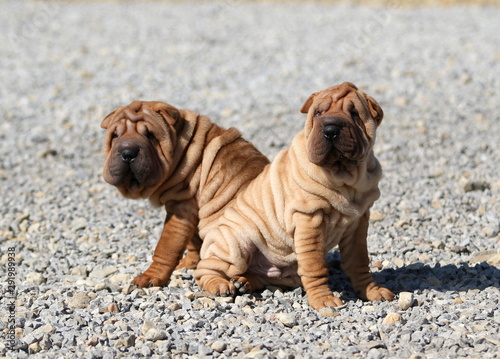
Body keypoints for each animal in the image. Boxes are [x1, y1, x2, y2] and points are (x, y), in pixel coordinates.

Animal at [101, 101, 270, 290]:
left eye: (151, 136)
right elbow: (192, 242)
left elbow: (166, 247)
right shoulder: (191, 212)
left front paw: (150, 276)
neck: (182, 151)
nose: (128, 152)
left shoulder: (181, 207)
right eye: (115, 136)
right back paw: (243, 282)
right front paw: (189, 263)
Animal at [195, 83, 394, 310]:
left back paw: (243, 282)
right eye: (318, 113)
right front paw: (324, 300)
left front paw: (372, 291)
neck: (344, 177)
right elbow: (315, 266)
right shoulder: (309, 218)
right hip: (235, 242)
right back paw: (221, 285)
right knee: (205, 269)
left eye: (354, 113)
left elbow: (359, 260)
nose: (331, 129)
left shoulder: (358, 222)